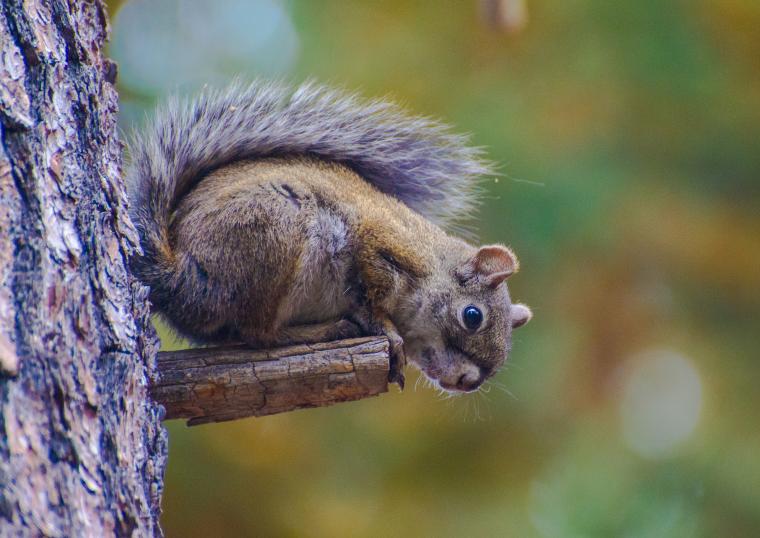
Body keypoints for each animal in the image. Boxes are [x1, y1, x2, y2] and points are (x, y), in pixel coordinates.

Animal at [126, 80, 528, 390]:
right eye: (472, 316)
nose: (468, 382)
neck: (433, 265)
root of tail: (183, 280)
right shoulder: (379, 242)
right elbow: (371, 298)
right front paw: (387, 332)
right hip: (277, 232)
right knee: (258, 333)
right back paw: (322, 331)